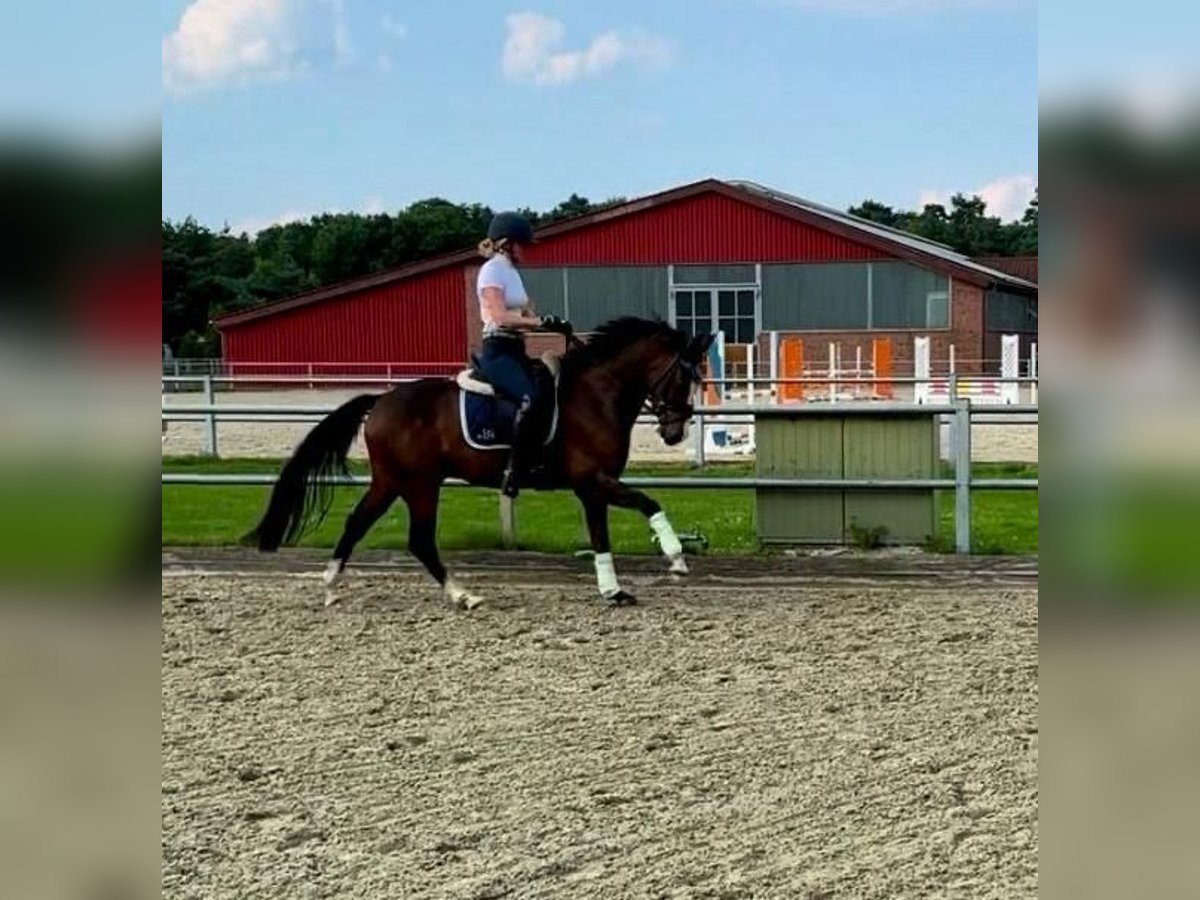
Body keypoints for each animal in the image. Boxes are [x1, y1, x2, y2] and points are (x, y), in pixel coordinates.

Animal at [242, 316, 710, 607]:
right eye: (684, 376)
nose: (675, 432)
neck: (598, 394)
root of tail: (381, 400)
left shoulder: (592, 486)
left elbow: (600, 538)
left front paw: (613, 592)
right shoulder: (595, 479)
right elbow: (649, 503)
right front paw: (676, 558)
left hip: (392, 482)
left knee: (358, 523)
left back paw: (331, 587)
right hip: (418, 484)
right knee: (418, 539)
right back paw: (461, 595)